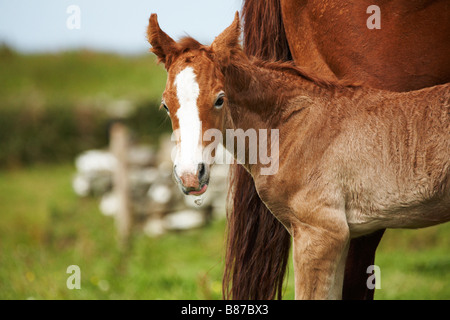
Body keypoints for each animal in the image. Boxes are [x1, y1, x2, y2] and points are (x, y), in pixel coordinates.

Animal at [146, 11, 448, 298]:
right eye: (165, 105)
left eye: (220, 99)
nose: (190, 176)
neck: (293, 126)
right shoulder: (337, 236)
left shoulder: (321, 233)